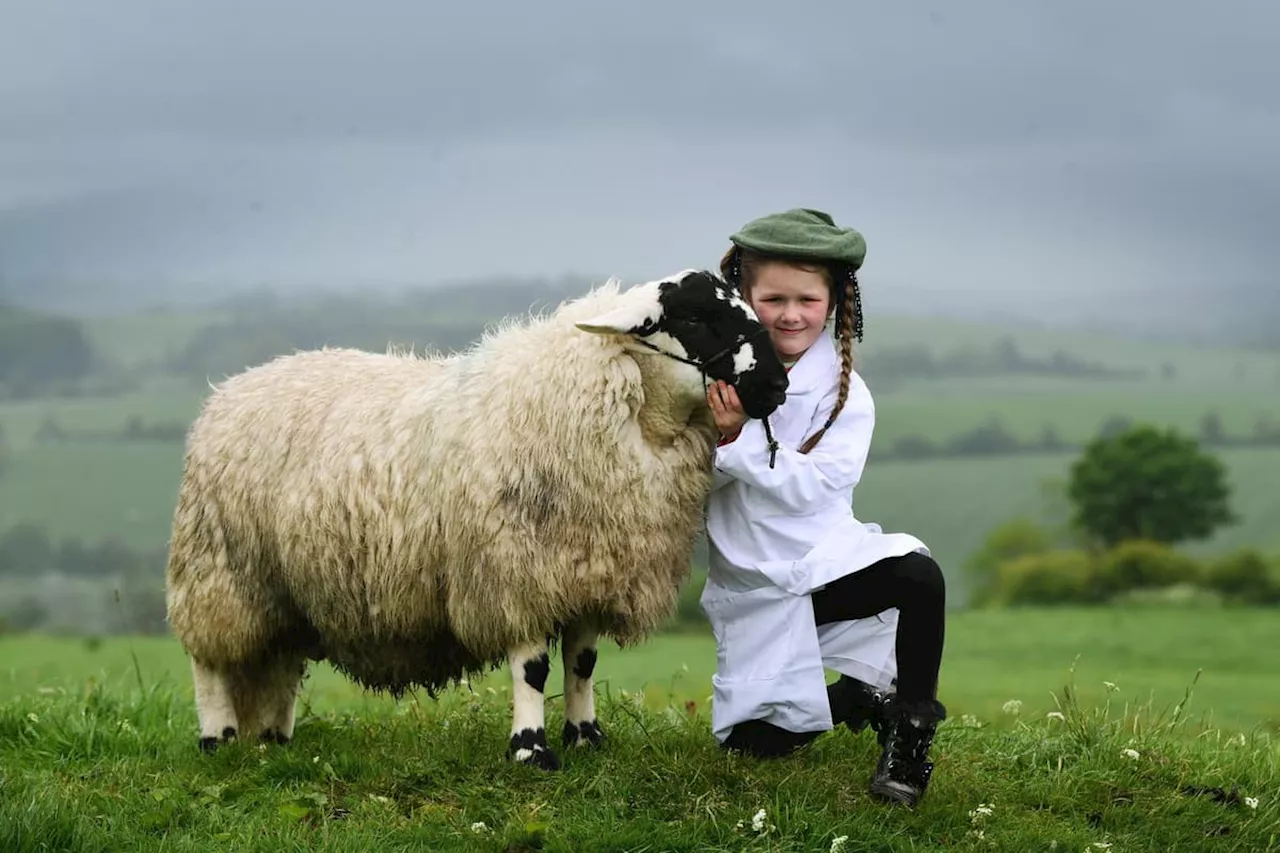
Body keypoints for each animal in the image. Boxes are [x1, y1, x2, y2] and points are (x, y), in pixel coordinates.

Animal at [165, 267, 788, 768]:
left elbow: (582, 662)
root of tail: (231, 389)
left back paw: (275, 739)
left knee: (282, 656)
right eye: (695, 316)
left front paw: (586, 737)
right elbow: (533, 668)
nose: (777, 384)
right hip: (218, 568)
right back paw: (218, 738)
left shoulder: (588, 568)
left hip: (285, 583)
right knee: (208, 657)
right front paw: (531, 750)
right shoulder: (517, 570)